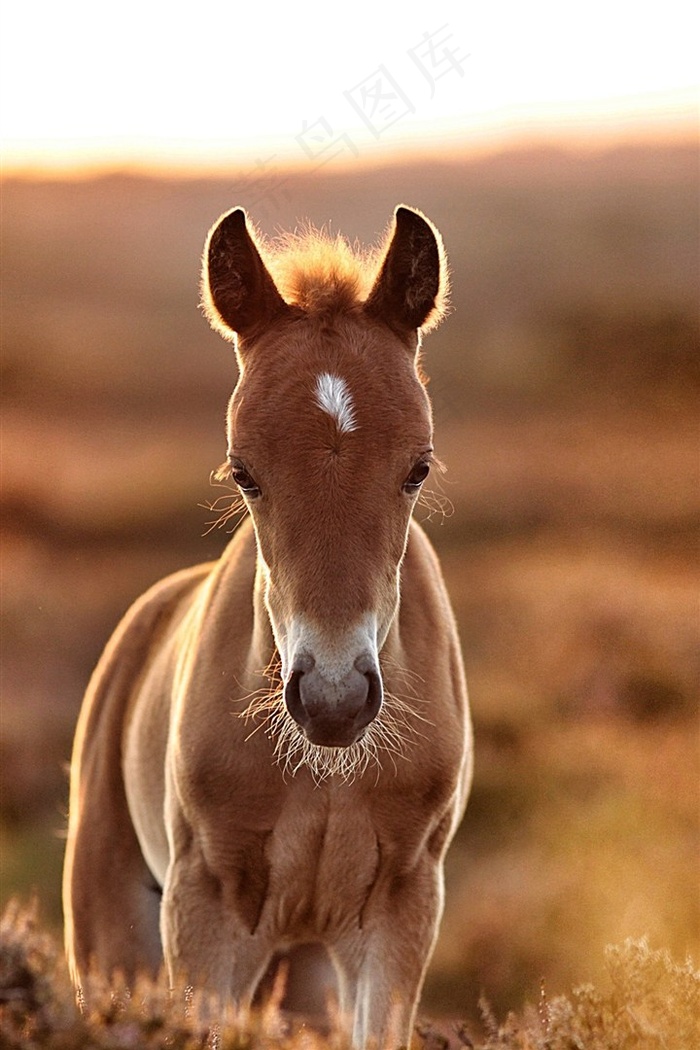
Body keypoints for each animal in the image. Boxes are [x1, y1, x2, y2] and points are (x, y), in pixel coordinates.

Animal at [62, 202, 474, 1041]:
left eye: (417, 468)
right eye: (243, 471)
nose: (334, 701)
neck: (326, 772)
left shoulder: (403, 908)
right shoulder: (205, 912)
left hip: (304, 970)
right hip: (111, 939)